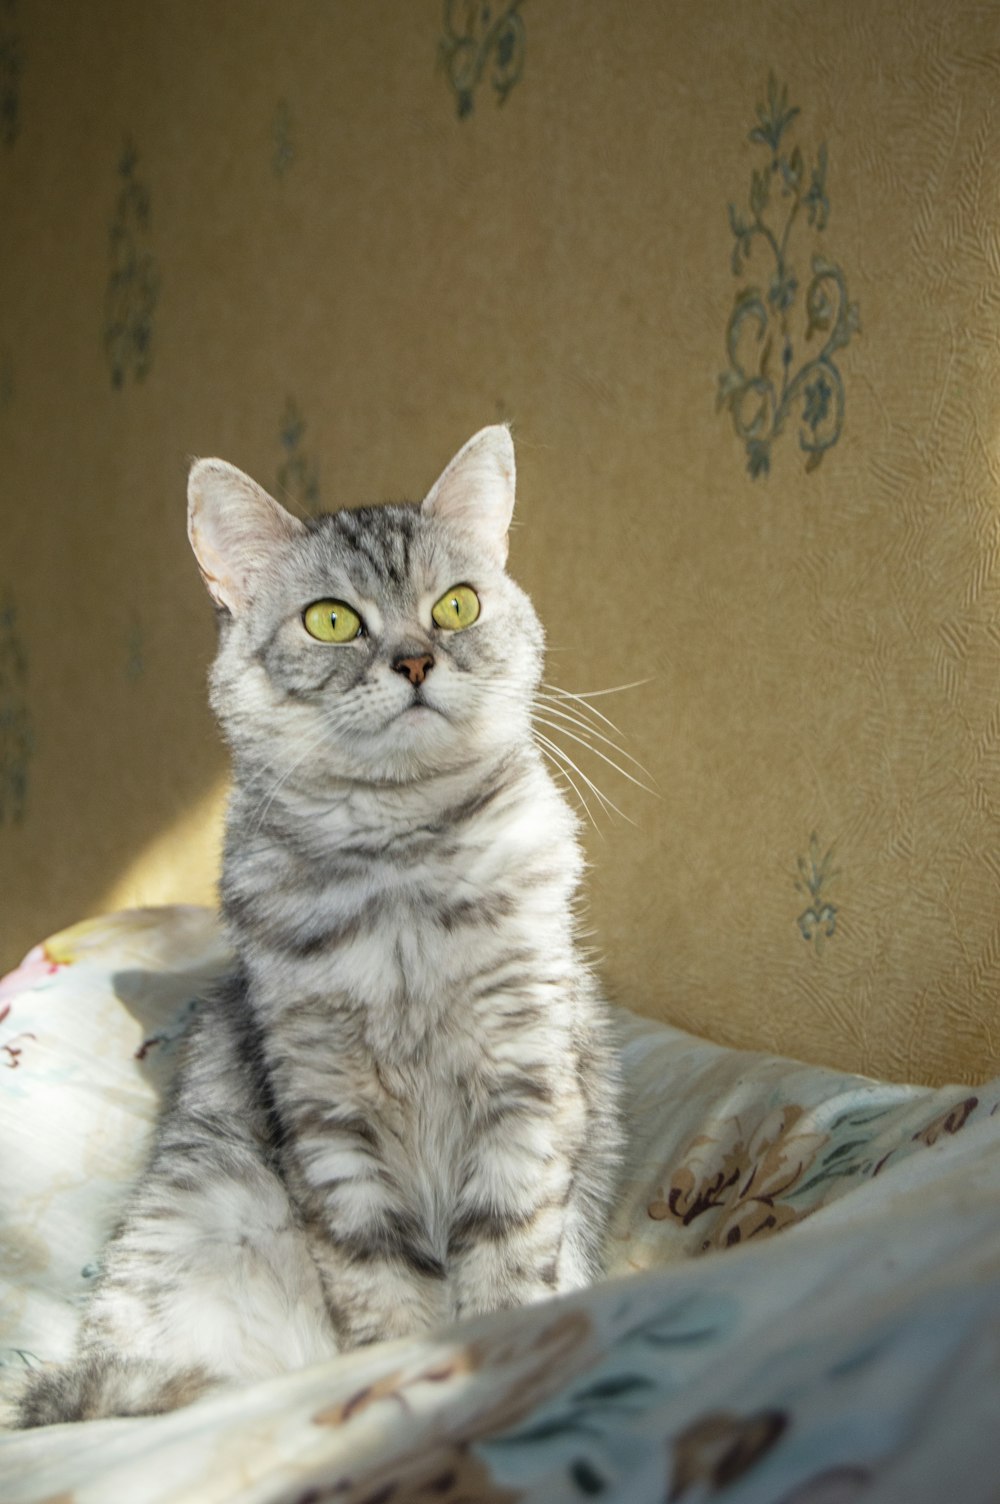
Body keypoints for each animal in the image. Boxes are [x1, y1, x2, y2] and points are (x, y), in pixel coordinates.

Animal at [19, 424, 619, 1419]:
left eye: (457, 605)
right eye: (333, 620)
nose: (415, 661)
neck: (400, 864)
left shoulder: (525, 1077)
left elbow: (506, 1254)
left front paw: (495, 1361)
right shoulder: (327, 1115)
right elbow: (380, 1289)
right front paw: (400, 1383)